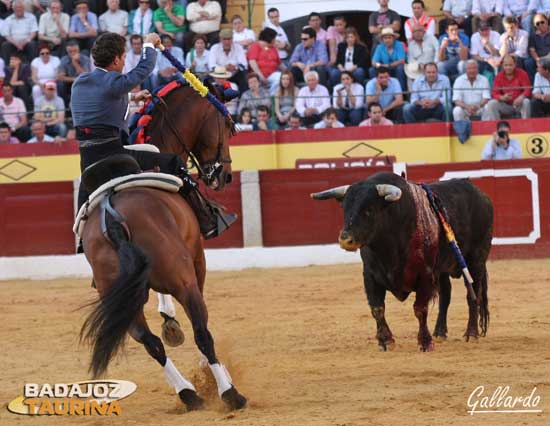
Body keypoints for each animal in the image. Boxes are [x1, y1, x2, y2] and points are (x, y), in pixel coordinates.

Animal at [80, 81, 248, 412]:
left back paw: (189, 393)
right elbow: (201, 320)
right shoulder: (195, 257)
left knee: (150, 342)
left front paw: (169, 321)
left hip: (117, 293)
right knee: (202, 333)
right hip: (183, 278)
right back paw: (228, 391)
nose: (224, 175)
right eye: (225, 125)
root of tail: (114, 218)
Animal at [314, 171, 496, 352]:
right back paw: (439, 332)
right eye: (344, 208)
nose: (346, 240)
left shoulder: (425, 274)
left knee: (473, 295)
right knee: (446, 295)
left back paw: (471, 334)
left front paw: (425, 343)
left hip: (476, 261)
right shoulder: (370, 276)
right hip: (442, 268)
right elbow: (377, 308)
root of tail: (481, 195)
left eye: (369, 210)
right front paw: (386, 341)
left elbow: (420, 309)